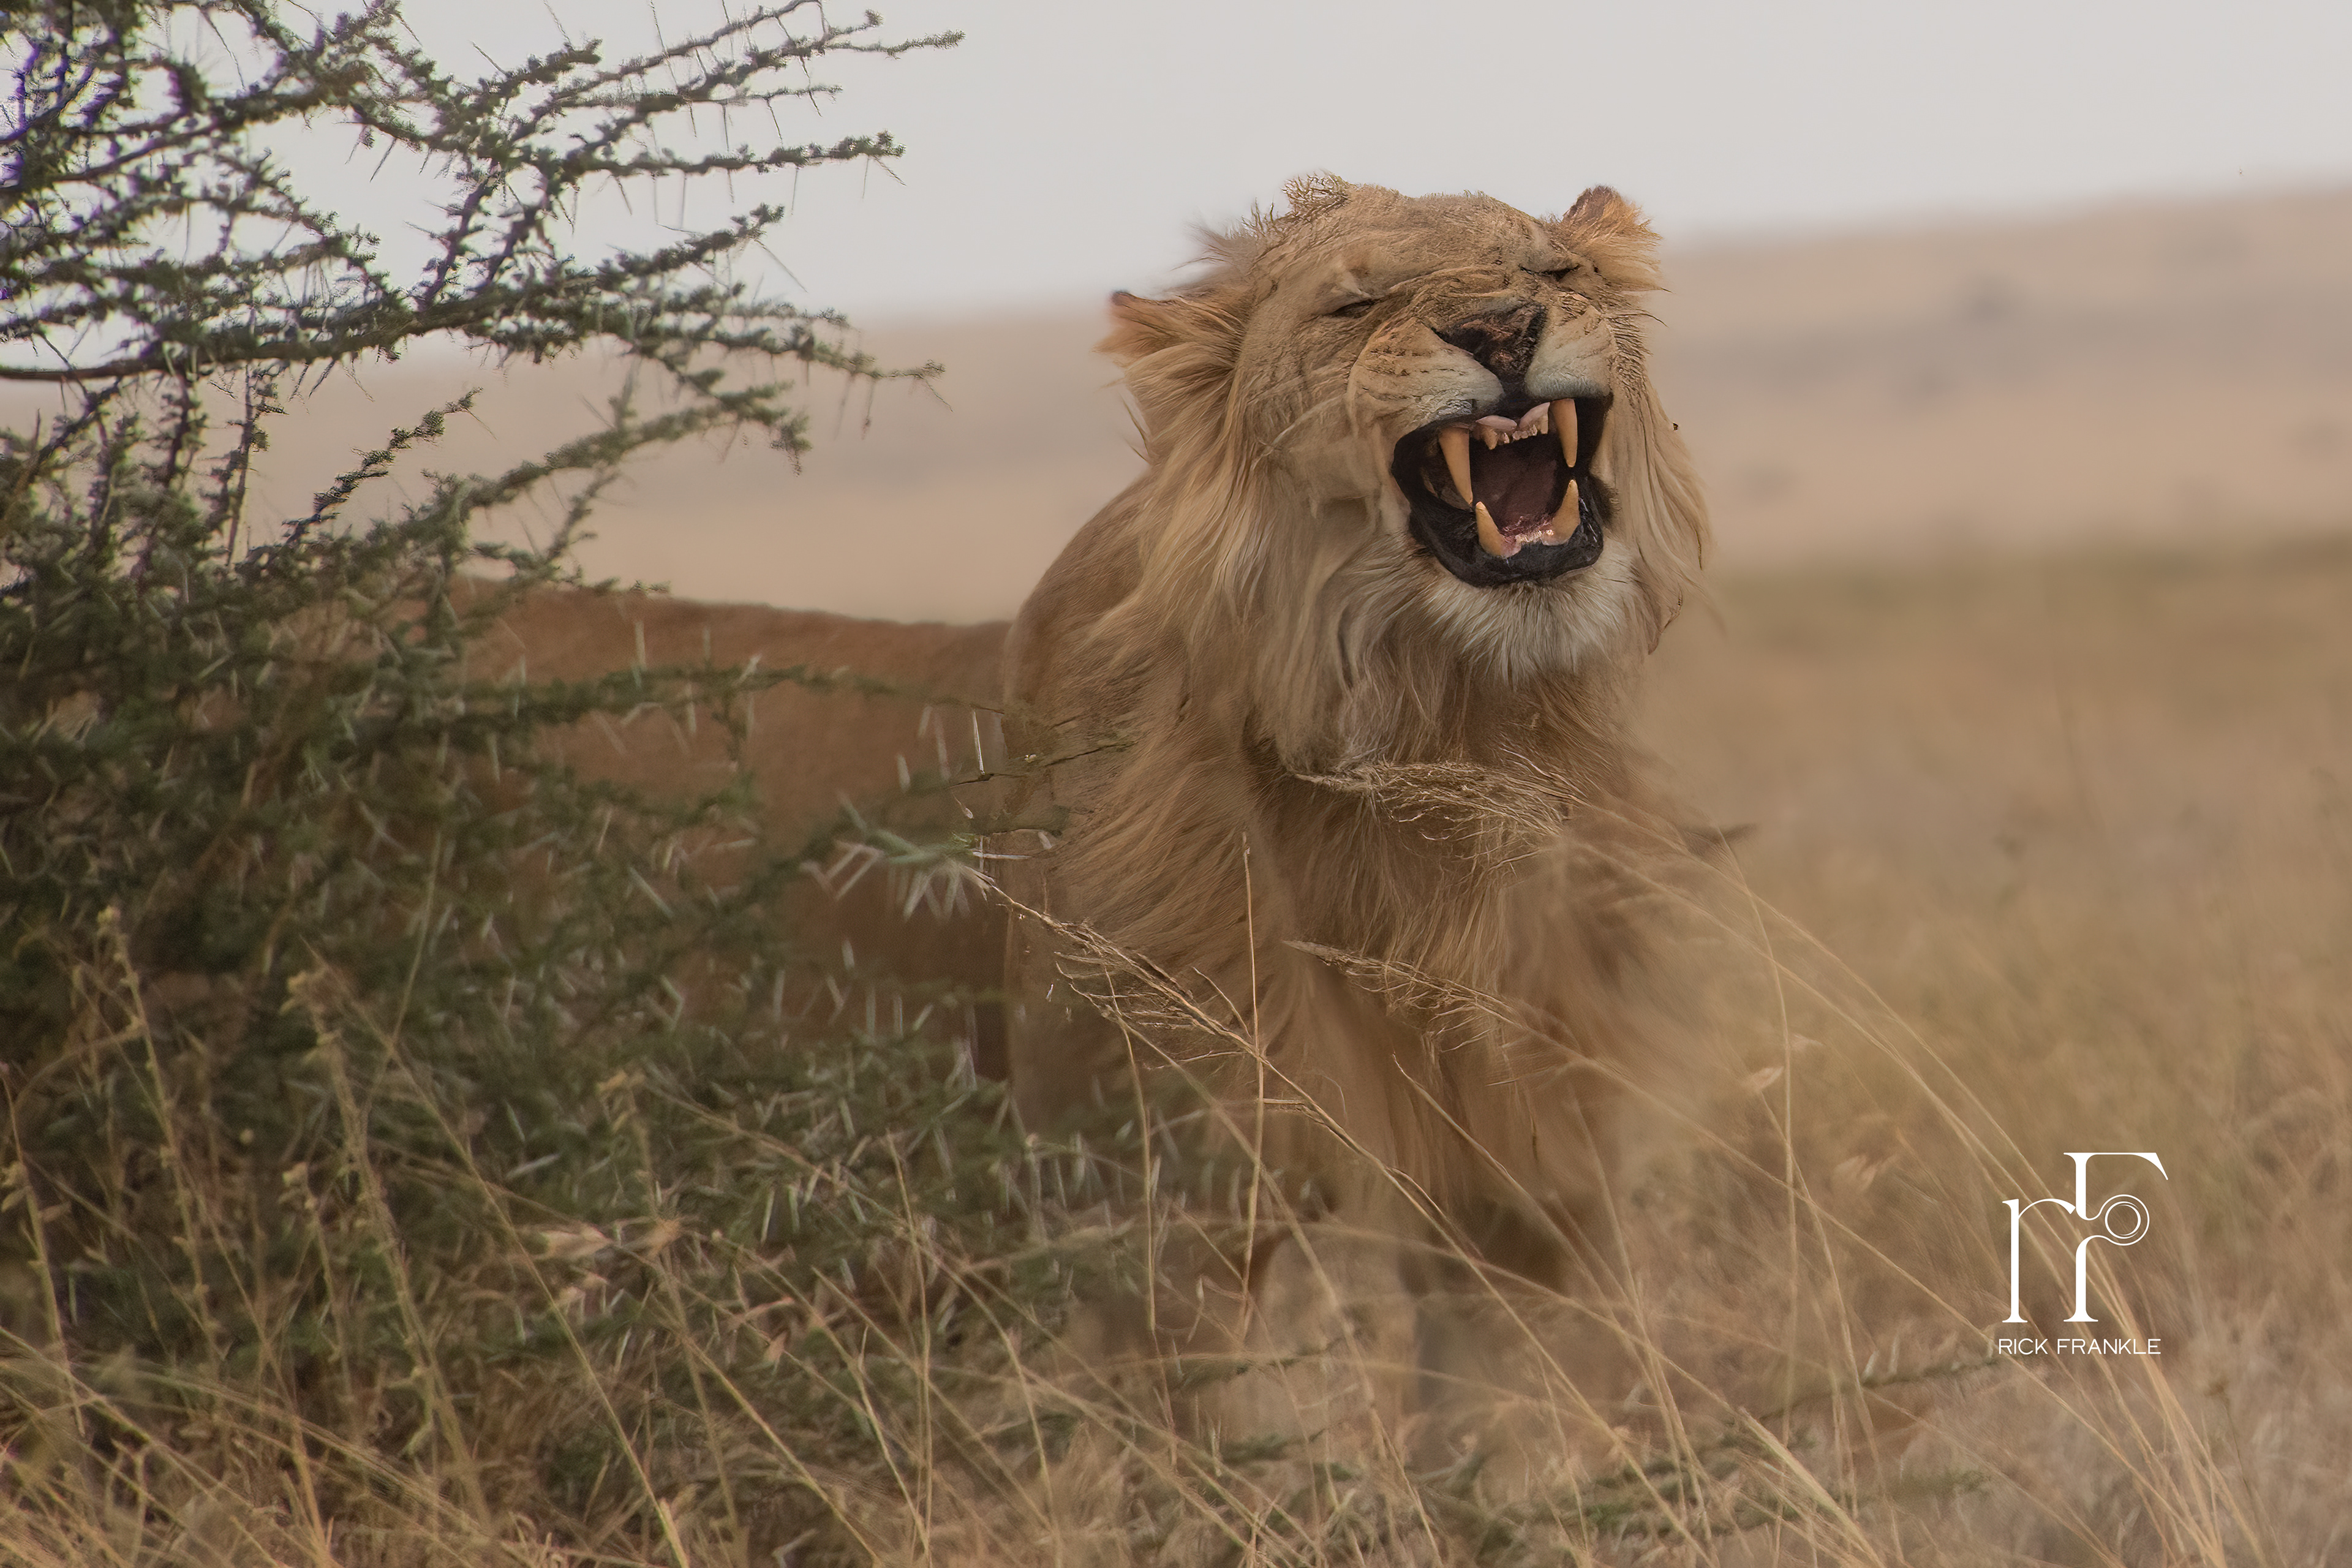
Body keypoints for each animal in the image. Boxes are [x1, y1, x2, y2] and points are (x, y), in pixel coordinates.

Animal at [990, 177, 1709, 1445]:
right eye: (1354, 305)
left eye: (1556, 272)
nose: (1502, 332)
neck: (1438, 730)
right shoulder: (1153, 1218)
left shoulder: (1525, 1174)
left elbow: (1493, 1425)